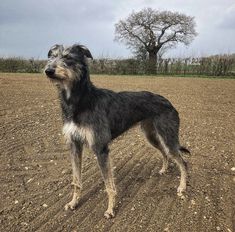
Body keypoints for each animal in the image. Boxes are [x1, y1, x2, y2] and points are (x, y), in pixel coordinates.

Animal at [45, 43, 190, 219]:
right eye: (52, 57)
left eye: (68, 57)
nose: (48, 70)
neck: (80, 101)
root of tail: (169, 102)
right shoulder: (74, 145)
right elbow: (76, 181)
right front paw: (74, 203)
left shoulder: (101, 148)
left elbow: (109, 185)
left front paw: (110, 209)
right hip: (151, 135)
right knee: (164, 152)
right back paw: (163, 170)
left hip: (168, 136)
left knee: (182, 161)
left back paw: (182, 188)